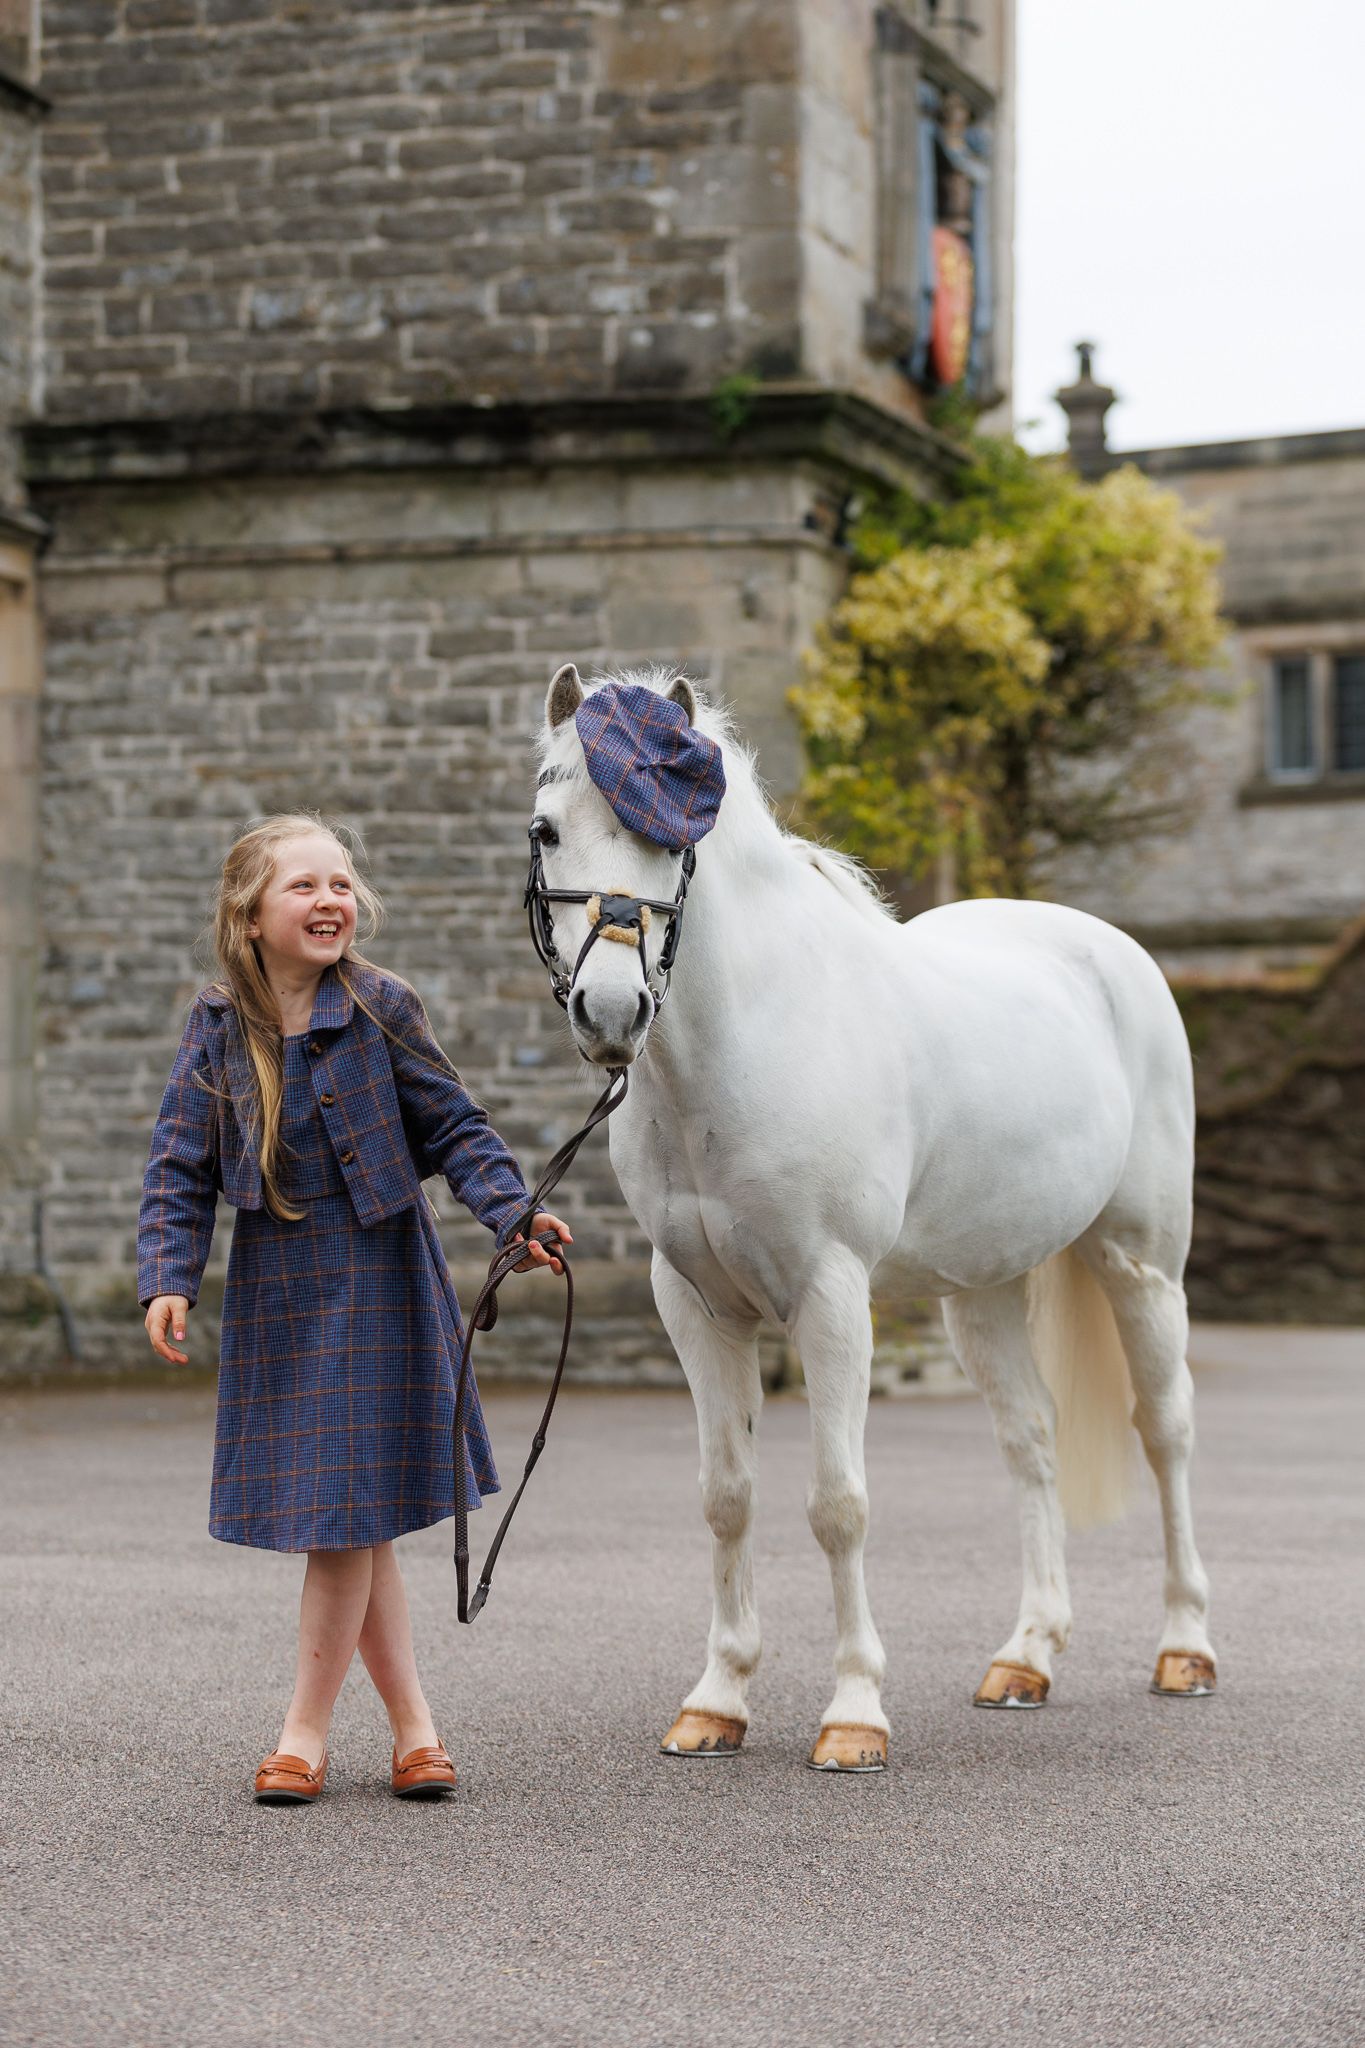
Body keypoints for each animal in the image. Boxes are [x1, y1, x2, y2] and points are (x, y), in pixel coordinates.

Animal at [524, 661, 1217, 1771]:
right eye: (548, 828)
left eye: (673, 838)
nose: (612, 1011)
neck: (746, 1044)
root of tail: (1110, 951)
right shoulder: (693, 1304)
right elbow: (727, 1497)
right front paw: (716, 1701)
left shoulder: (832, 1297)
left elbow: (838, 1504)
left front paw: (853, 1714)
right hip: (983, 1292)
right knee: (1032, 1441)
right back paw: (1026, 1657)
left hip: (1139, 1265)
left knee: (1166, 1431)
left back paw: (1184, 1647)